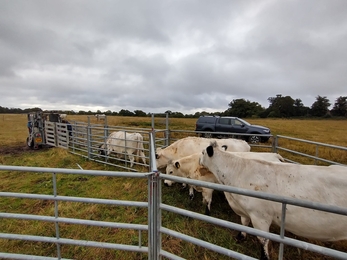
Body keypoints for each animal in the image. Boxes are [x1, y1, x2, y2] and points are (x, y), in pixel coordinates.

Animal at [200, 141, 347, 260]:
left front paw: (264, 257)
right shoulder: (244, 210)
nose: (198, 160)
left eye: (202, 152)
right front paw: (240, 237)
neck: (238, 171)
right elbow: (244, 223)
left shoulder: (260, 217)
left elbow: (264, 241)